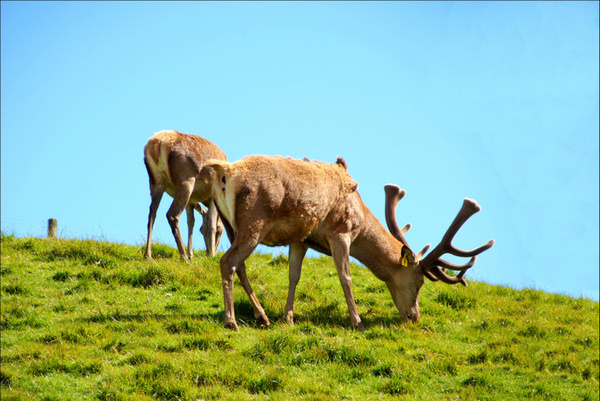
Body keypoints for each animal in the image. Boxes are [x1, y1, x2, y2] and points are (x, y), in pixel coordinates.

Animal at [143, 129, 227, 260]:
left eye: (200, 230)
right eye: (220, 232)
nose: (208, 253)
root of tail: (159, 143)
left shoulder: (192, 201)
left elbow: (191, 222)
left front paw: (191, 254)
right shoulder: (214, 196)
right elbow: (212, 225)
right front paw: (210, 255)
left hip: (156, 182)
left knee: (152, 214)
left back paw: (148, 255)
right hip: (186, 181)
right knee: (172, 215)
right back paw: (183, 256)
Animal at [204, 155, 494, 330]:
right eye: (419, 282)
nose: (414, 317)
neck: (361, 218)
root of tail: (226, 171)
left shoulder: (301, 239)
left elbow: (293, 275)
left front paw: (288, 318)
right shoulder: (341, 232)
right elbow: (346, 277)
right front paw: (358, 321)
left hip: (231, 225)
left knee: (239, 266)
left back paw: (262, 316)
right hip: (254, 222)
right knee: (227, 261)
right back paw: (231, 321)